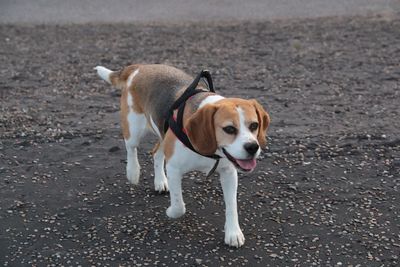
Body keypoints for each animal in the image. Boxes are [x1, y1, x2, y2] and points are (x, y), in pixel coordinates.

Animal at [95, 63, 270, 248]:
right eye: (229, 129)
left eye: (254, 125)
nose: (253, 147)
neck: (210, 150)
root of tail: (142, 67)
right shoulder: (174, 168)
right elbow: (179, 206)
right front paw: (171, 212)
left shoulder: (229, 173)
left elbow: (231, 206)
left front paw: (233, 233)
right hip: (134, 127)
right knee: (131, 147)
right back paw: (133, 172)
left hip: (163, 136)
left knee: (156, 153)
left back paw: (160, 182)